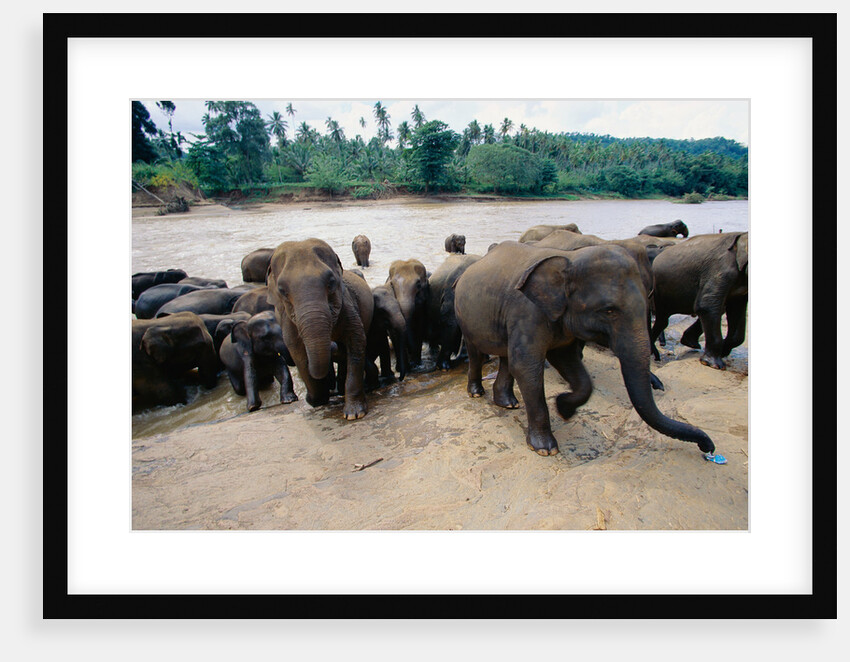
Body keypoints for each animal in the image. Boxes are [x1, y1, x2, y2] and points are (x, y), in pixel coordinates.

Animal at [266, 238, 374, 420]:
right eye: (282, 290)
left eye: (331, 282)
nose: (307, 398)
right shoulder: (287, 321)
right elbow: (298, 353)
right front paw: (316, 400)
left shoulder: (347, 304)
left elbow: (356, 342)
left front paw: (354, 415)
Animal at [454, 241, 715, 457]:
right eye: (609, 310)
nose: (709, 448)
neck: (570, 259)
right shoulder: (527, 312)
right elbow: (527, 367)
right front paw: (546, 449)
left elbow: (567, 363)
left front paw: (564, 407)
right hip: (465, 315)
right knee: (477, 352)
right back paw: (477, 393)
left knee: (506, 356)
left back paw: (508, 403)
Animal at [650, 232, 748, 370]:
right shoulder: (721, 270)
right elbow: (706, 306)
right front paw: (713, 365)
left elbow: (736, 309)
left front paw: (723, 352)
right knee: (662, 320)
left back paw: (690, 343)